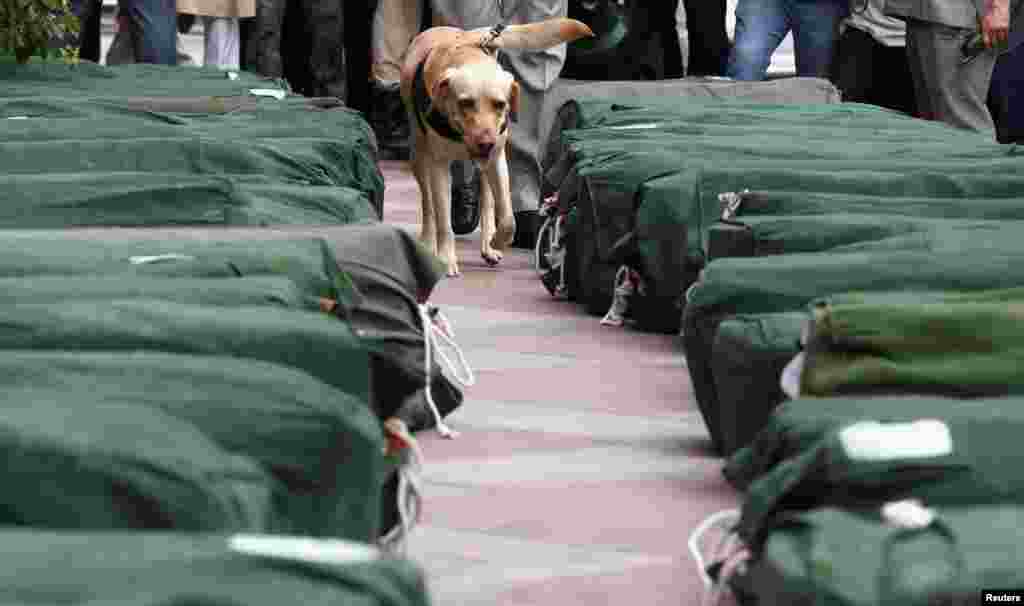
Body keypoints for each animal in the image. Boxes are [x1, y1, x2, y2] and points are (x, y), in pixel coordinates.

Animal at [399, 17, 593, 276]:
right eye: (465, 103)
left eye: (500, 104)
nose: (485, 142)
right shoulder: (439, 166)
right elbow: (443, 220)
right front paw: (446, 259)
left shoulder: (497, 158)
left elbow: (508, 217)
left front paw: (497, 241)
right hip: (420, 157)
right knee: (428, 205)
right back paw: (428, 242)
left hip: (487, 166)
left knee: (488, 200)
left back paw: (488, 243)